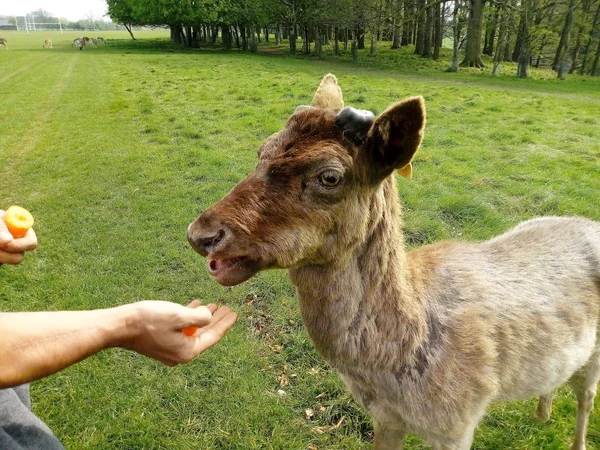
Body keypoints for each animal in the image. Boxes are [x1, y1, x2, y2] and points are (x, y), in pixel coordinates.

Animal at [188, 74, 600, 450]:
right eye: (262, 150)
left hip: (594, 356)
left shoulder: (458, 423)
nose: (201, 234)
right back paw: (541, 415)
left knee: (586, 398)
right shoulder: (383, 416)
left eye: (330, 176)